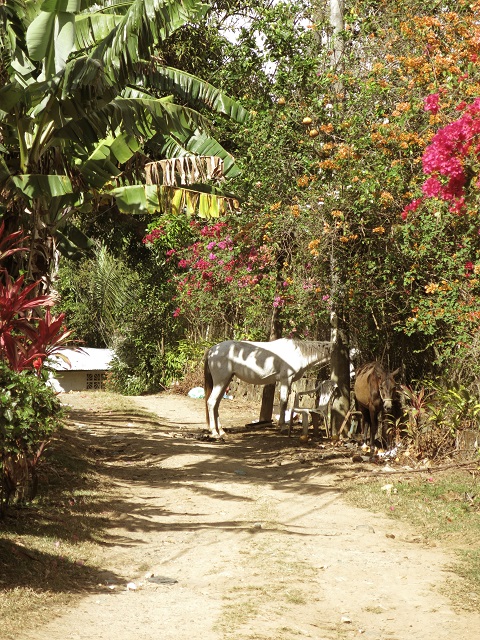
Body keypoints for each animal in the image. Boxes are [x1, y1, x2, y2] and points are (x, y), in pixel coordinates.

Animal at [203, 338, 334, 438]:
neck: (297, 353)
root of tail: (211, 351)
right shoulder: (286, 379)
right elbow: (284, 402)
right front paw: (283, 427)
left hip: (225, 381)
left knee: (216, 405)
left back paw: (221, 431)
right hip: (221, 382)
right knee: (211, 402)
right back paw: (215, 433)